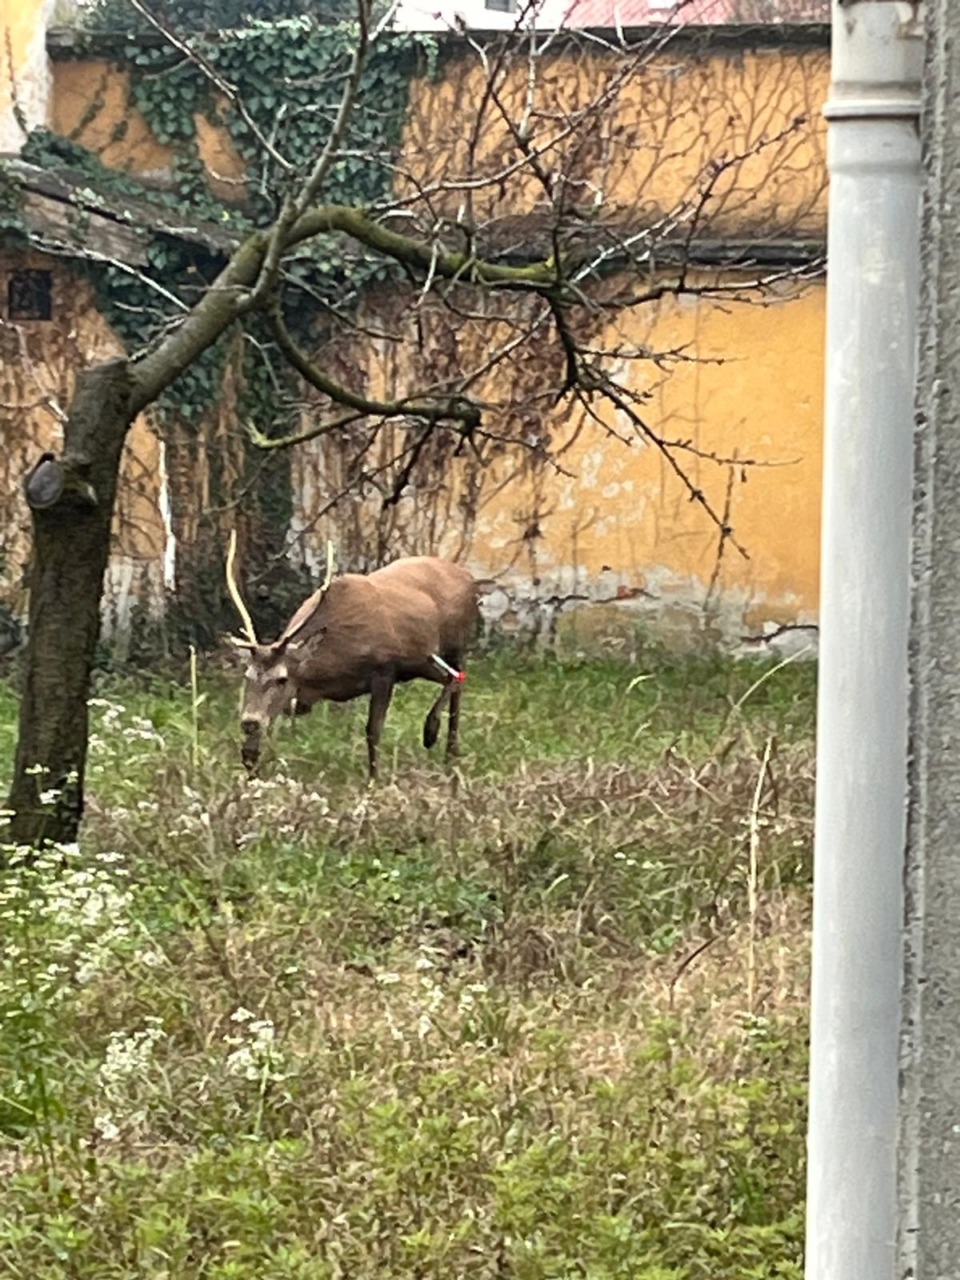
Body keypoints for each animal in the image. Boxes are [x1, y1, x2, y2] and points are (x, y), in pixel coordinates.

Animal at [225, 533, 480, 778]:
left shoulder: (387, 669)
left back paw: (440, 743)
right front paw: (252, 774)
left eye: (282, 679)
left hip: (447, 647)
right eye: (247, 676)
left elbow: (373, 731)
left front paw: (374, 781)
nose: (248, 722)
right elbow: (252, 748)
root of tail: (469, 578)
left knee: (457, 679)